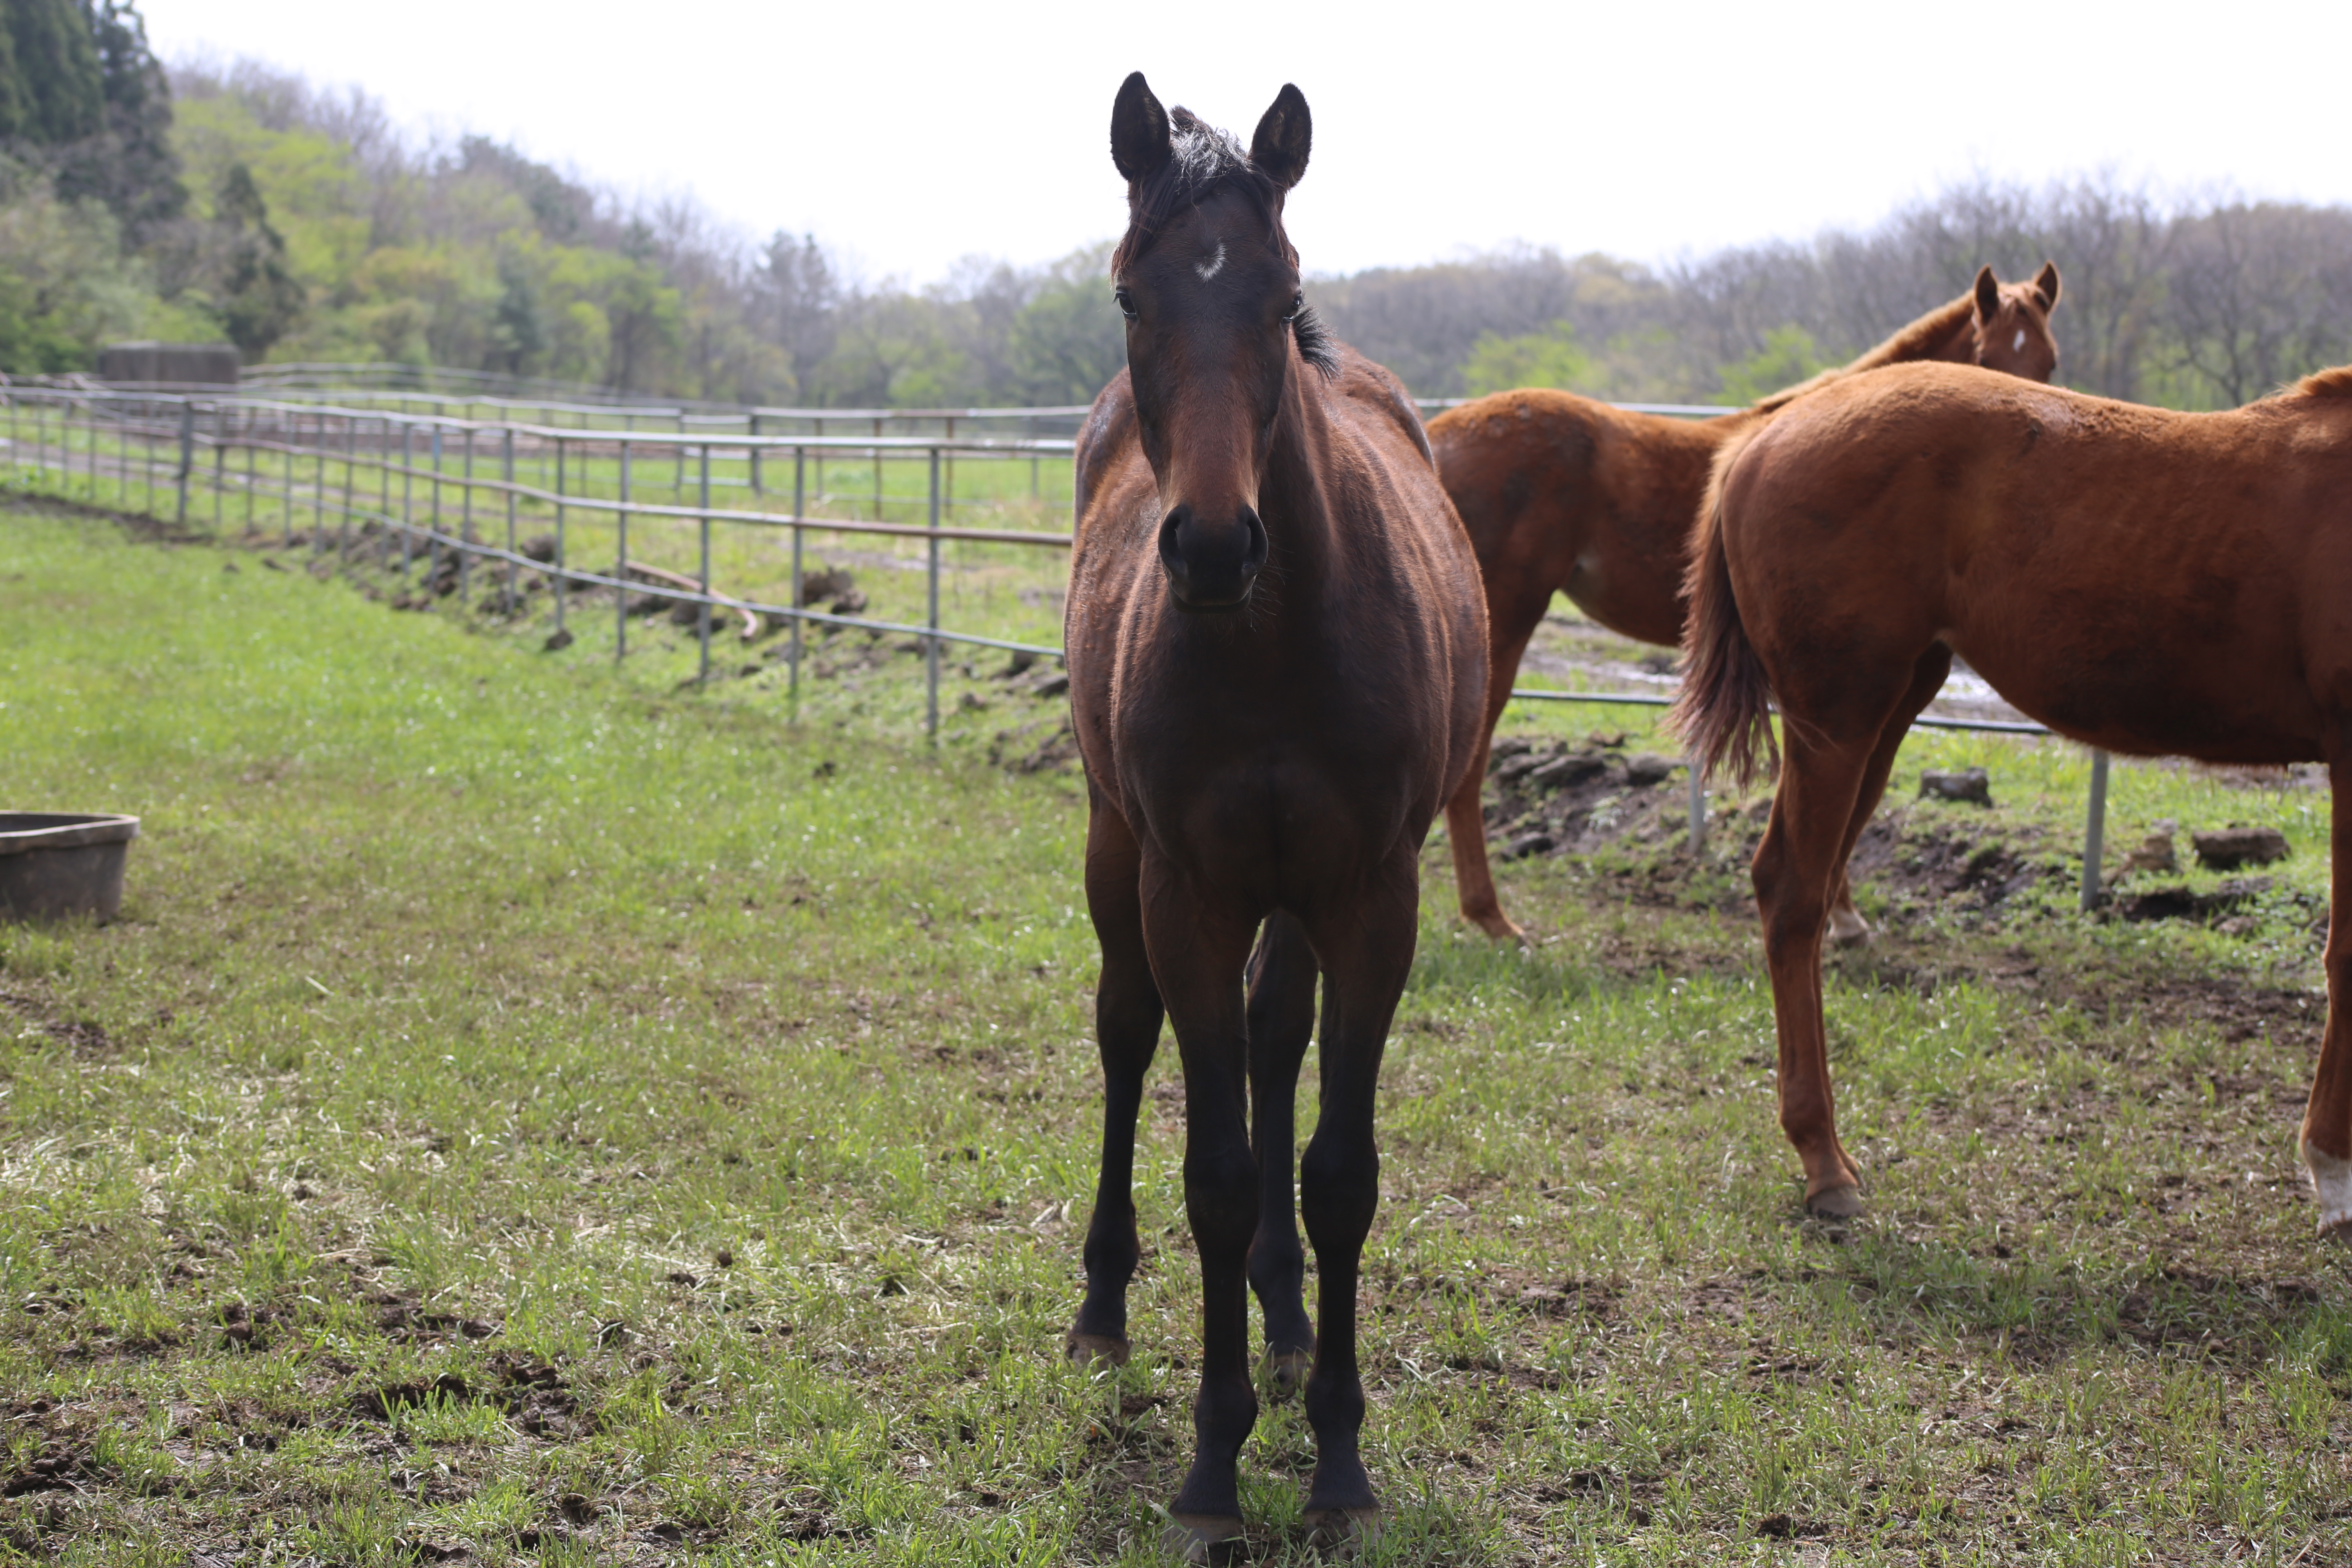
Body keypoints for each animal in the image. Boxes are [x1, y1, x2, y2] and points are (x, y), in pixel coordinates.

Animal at [1072, 70, 1486, 1561]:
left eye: (1280, 292)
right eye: (1132, 295)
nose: (1207, 546)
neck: (1269, 639)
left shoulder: (1371, 896)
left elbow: (1334, 1169)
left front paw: (1338, 1456)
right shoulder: (1186, 894)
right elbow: (1219, 1171)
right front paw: (1212, 1459)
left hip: (1301, 897)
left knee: (1274, 1035)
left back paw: (1291, 1306)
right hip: (1114, 853)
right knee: (1125, 1032)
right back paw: (1101, 1303)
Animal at [1411, 263, 2060, 940]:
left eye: (2051, 361)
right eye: (1985, 355)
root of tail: (1434, 438)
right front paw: (1844, 916)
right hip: (1505, 625)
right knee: (1471, 763)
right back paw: (1492, 918)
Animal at [1684, 359, 2352, 1222]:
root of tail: (1764, 436)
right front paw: (2334, 1174)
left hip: (1890, 706)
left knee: (1810, 886)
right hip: (1839, 712)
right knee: (1792, 893)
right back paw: (1824, 1163)